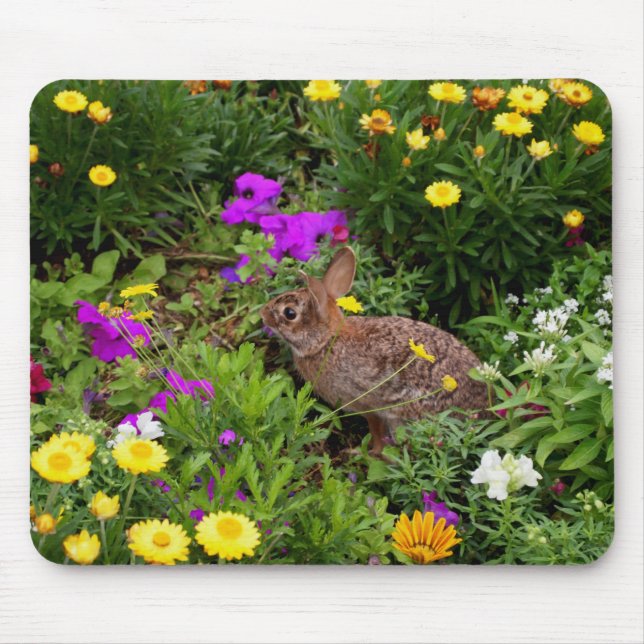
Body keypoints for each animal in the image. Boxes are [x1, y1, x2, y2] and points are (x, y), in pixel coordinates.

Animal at [260, 246, 488, 454]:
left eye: (289, 313)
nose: (263, 313)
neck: (325, 341)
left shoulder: (369, 406)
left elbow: (376, 433)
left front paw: (366, 453)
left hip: (402, 417)